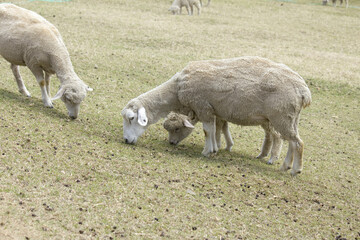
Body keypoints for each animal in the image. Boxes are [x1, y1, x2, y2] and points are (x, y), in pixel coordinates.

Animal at [121, 56, 312, 176]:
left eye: (131, 118)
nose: (125, 140)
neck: (176, 90)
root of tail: (303, 90)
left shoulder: (203, 106)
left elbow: (208, 131)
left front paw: (207, 151)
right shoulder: (212, 111)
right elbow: (215, 130)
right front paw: (215, 148)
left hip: (281, 115)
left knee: (297, 143)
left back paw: (294, 169)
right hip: (290, 117)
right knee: (292, 142)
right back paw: (285, 166)